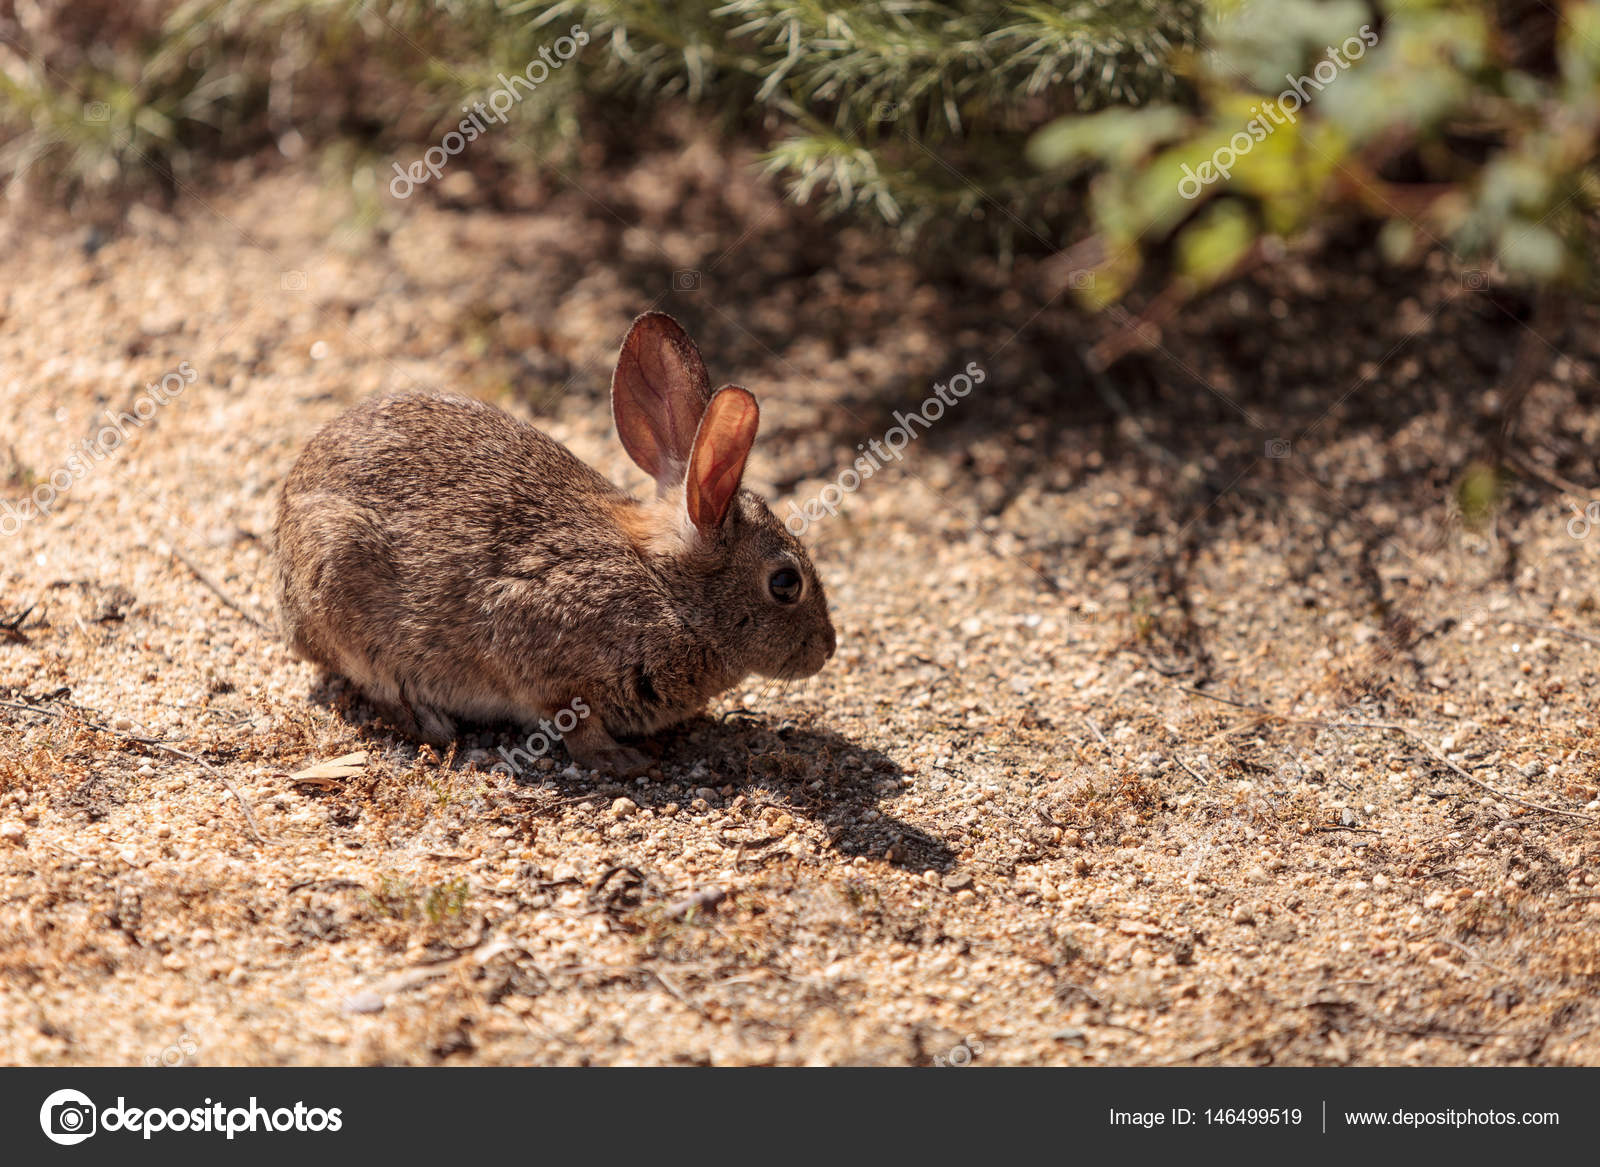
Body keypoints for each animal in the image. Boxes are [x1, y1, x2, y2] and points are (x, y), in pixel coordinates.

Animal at [273, 312, 835, 776]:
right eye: (785, 584)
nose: (828, 648)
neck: (666, 589)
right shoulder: (543, 652)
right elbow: (574, 722)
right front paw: (620, 760)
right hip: (338, 576)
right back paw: (429, 721)